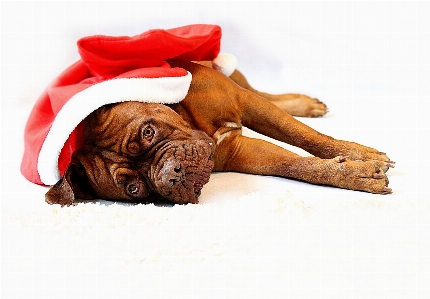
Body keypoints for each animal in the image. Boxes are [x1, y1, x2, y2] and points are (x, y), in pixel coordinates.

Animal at [45, 59, 394, 207]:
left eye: (148, 132)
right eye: (133, 188)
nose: (170, 174)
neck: (190, 119)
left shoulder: (244, 101)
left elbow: (304, 136)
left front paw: (359, 154)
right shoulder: (245, 152)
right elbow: (295, 164)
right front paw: (355, 174)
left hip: (236, 76)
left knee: (265, 93)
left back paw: (305, 104)